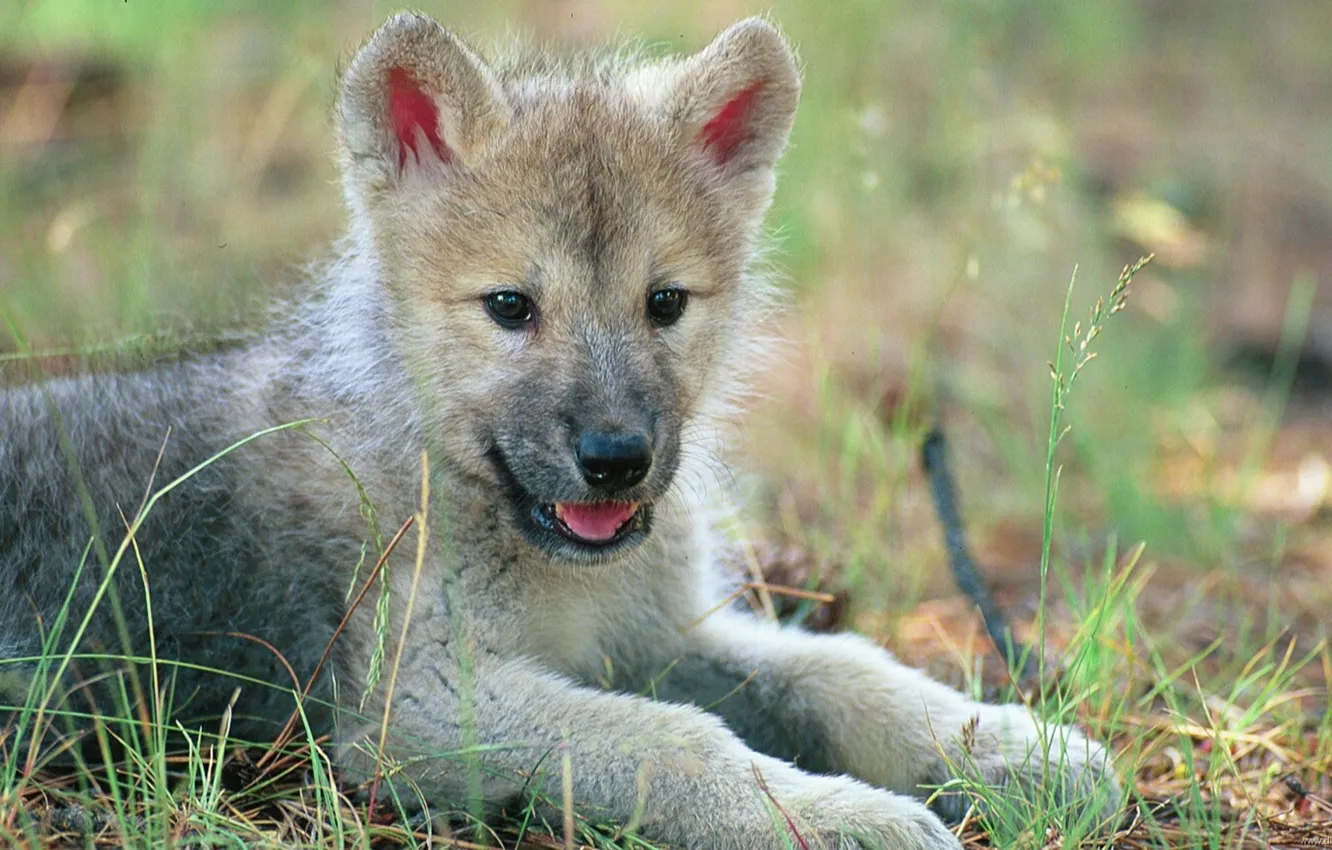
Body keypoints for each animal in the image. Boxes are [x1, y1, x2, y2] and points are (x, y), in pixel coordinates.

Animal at [0, 13, 1120, 849]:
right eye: (509, 307)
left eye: (664, 303)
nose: (617, 461)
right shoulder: (417, 706)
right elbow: (682, 741)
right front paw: (836, 816)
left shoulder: (663, 632)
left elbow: (839, 671)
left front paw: (1006, 747)